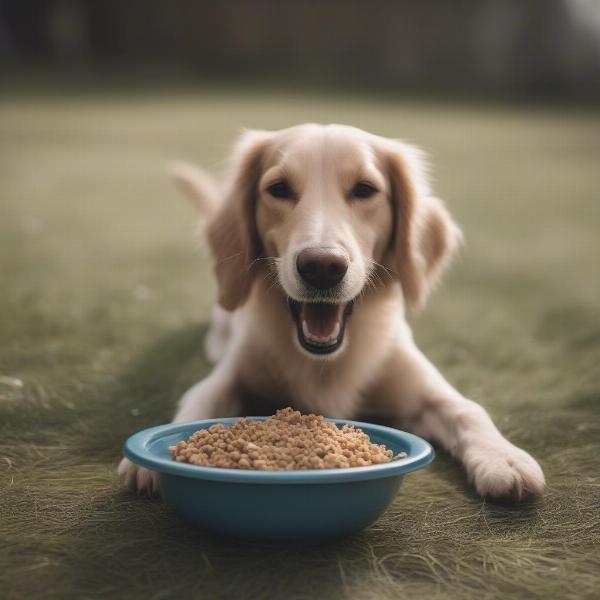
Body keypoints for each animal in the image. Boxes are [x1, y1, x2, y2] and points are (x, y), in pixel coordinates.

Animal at [117, 124, 544, 500]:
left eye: (365, 189)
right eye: (278, 189)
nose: (322, 267)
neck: (325, 365)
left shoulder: (423, 387)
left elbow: (468, 410)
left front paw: (503, 458)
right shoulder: (229, 376)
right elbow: (197, 403)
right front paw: (149, 460)